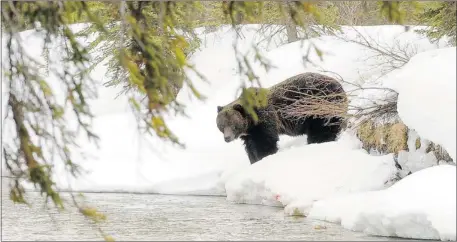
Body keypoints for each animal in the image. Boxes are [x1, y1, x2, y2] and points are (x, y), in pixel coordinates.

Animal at [216, 72, 348, 164]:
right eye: (221, 126)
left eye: (233, 124)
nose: (227, 138)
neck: (250, 124)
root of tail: (340, 86)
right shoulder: (249, 134)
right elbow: (250, 147)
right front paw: (254, 160)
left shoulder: (265, 118)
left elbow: (265, 142)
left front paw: (265, 156)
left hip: (318, 105)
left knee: (323, 128)